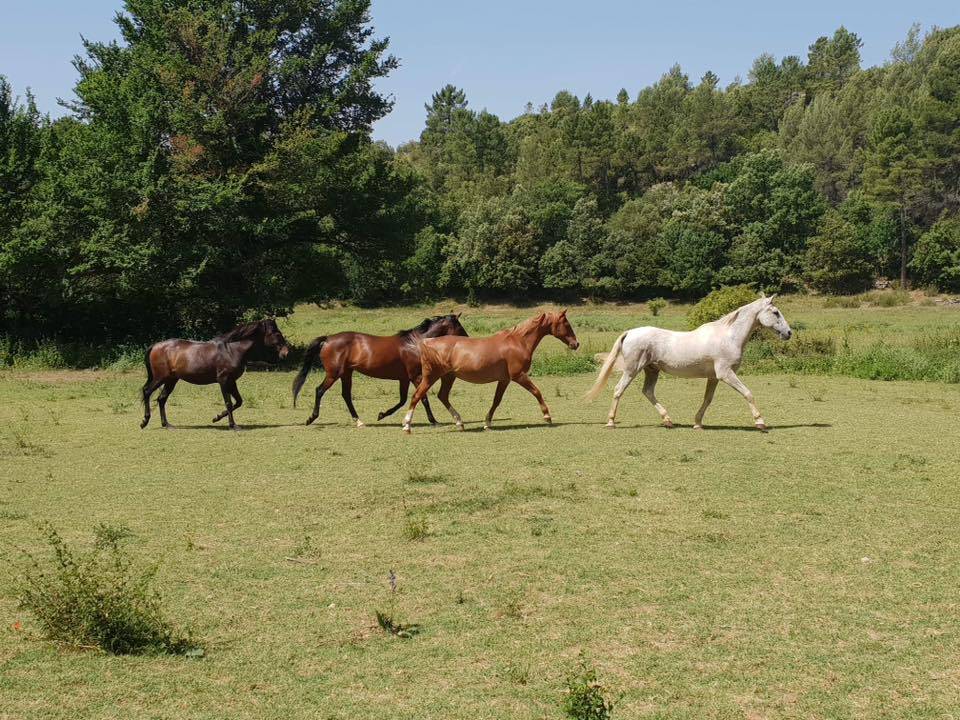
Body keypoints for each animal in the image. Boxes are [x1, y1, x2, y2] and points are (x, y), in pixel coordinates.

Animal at [140, 318, 290, 430]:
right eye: (276, 333)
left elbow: (239, 401)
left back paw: (167, 425)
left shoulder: (231, 381)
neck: (232, 350)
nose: (286, 353)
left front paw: (216, 417)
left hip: (171, 380)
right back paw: (144, 422)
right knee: (147, 391)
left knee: (161, 399)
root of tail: (155, 346)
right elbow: (229, 402)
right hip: (160, 378)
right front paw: (233, 425)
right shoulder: (223, 380)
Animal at [291, 313, 469, 428]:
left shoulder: (404, 378)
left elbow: (403, 400)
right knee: (320, 390)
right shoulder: (415, 376)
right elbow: (422, 398)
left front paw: (382, 415)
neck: (415, 345)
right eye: (460, 326)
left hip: (346, 373)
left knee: (346, 395)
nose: (468, 339)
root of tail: (327, 339)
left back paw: (359, 421)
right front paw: (434, 421)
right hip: (333, 374)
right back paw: (311, 418)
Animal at [401, 310, 580, 433]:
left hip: (448, 377)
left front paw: (487, 423)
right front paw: (547, 417)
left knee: (442, 396)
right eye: (566, 324)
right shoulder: (519, 376)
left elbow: (496, 401)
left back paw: (460, 423)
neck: (518, 341)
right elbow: (537, 392)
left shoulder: (505, 380)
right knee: (417, 396)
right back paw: (407, 426)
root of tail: (427, 342)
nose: (576, 344)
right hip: (431, 377)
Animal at [585, 295, 792, 431]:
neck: (728, 336)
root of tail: (630, 332)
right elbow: (748, 393)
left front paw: (697, 423)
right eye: (775, 312)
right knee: (618, 390)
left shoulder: (714, 377)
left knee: (648, 391)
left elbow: (707, 399)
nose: (789, 333)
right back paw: (611, 422)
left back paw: (668, 420)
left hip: (651, 370)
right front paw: (760, 423)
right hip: (632, 369)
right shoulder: (726, 374)